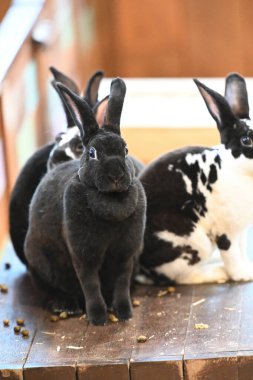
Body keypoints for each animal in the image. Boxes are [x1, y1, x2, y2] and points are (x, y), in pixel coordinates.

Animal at [24, 78, 146, 326]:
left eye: (125, 149)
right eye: (92, 153)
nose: (116, 175)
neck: (112, 199)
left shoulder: (125, 255)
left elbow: (121, 283)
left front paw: (124, 312)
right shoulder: (84, 255)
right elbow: (90, 285)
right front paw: (98, 318)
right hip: (41, 265)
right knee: (52, 289)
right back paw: (66, 306)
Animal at [137, 72, 253, 284]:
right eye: (246, 140)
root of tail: (143, 270)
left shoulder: (241, 232)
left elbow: (241, 251)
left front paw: (248, 267)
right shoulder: (226, 233)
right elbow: (232, 256)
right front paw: (243, 275)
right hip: (196, 241)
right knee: (182, 278)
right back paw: (217, 272)